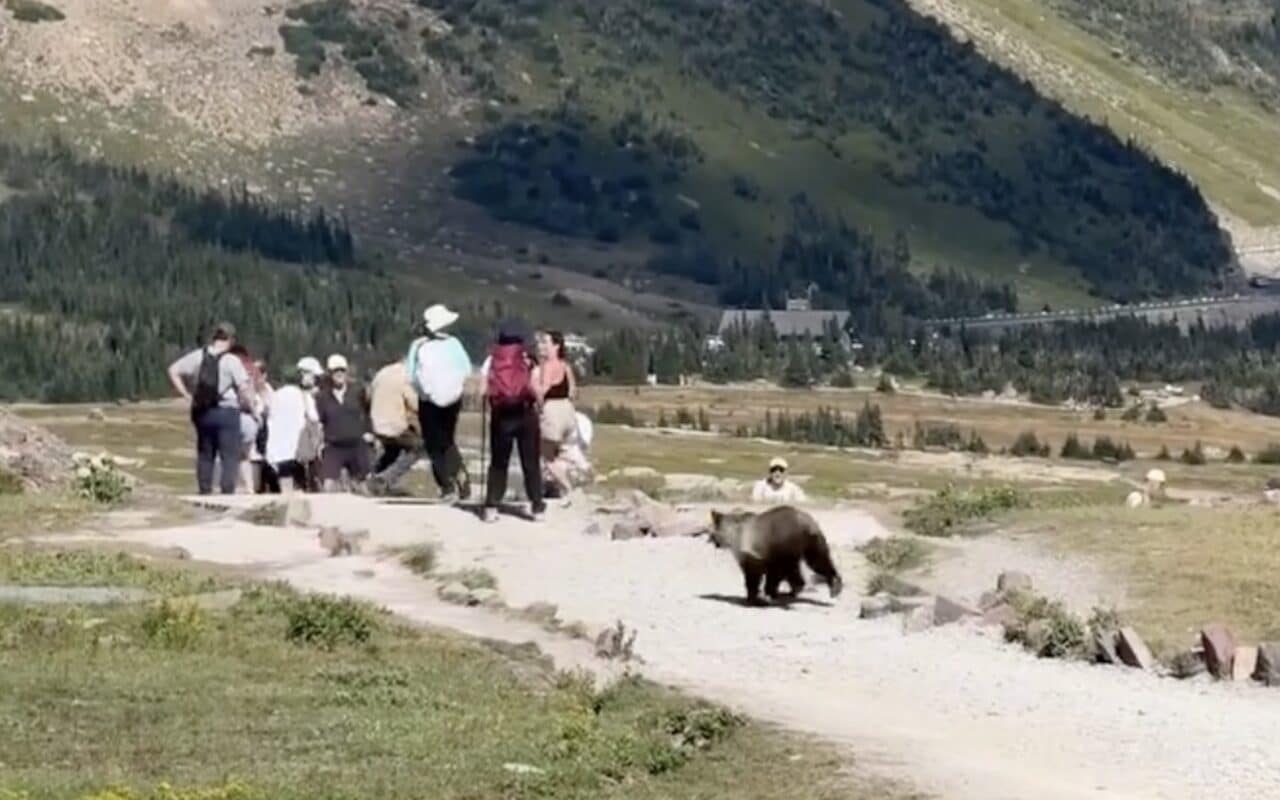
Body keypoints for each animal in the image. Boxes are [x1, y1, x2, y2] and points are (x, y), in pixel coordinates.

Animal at [707, 506, 843, 606]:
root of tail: (807, 522)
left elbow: (754, 575)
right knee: (817, 561)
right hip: (811, 542)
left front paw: (755, 597)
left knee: (796, 566)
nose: (713, 542)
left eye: (711, 532)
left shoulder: (753, 551)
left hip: (787, 540)